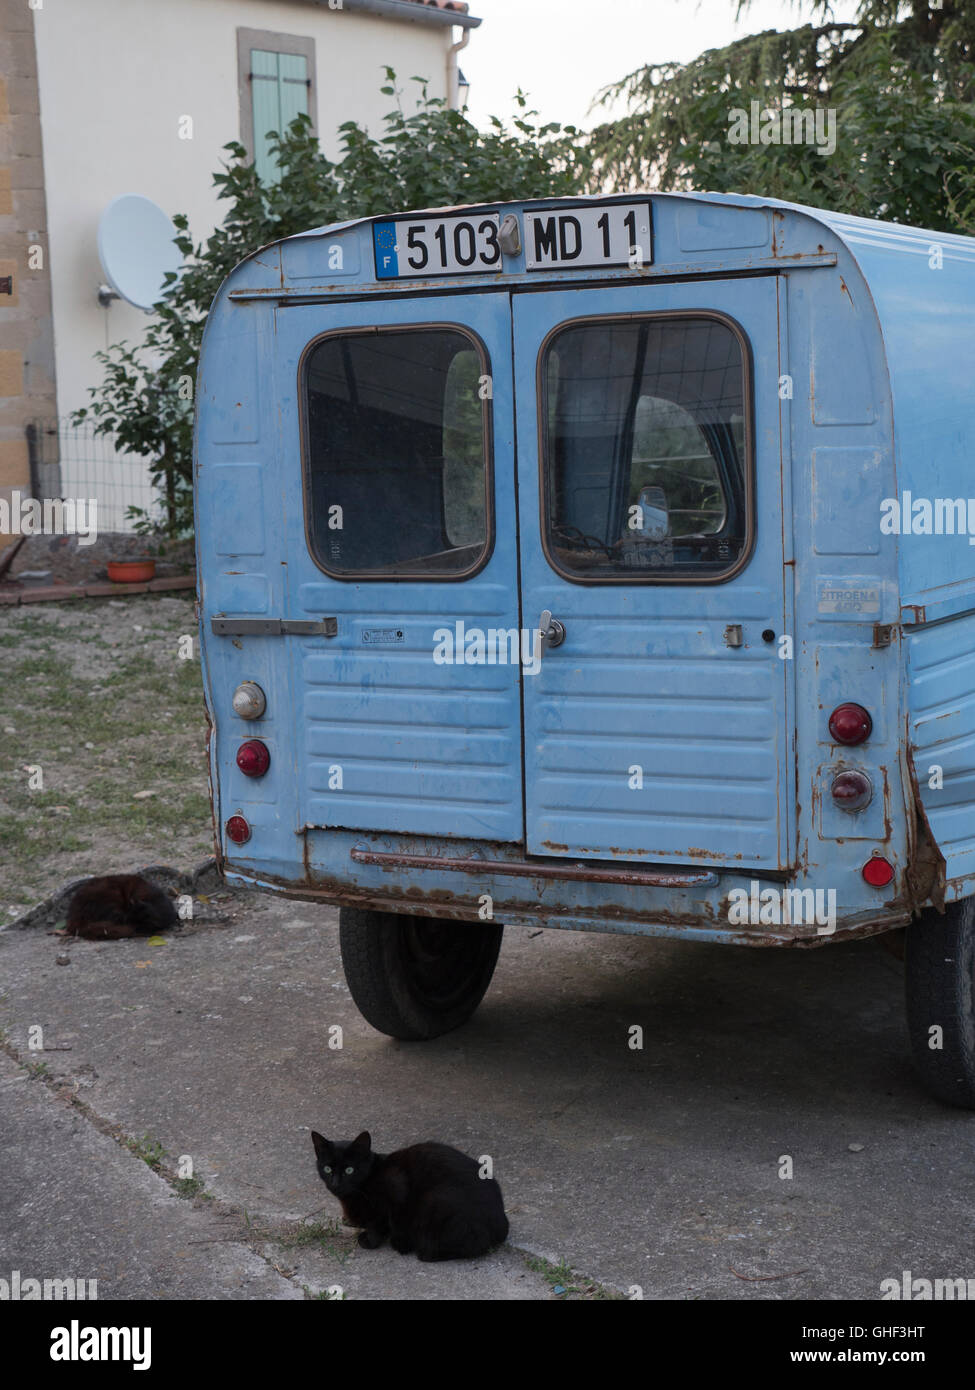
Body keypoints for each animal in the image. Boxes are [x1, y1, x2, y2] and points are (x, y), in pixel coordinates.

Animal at [311, 1128, 509, 1262]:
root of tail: (502, 1220)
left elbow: (380, 1221)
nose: (335, 1183)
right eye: (327, 1169)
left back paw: (414, 1248)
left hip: (434, 1201)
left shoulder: (396, 1187)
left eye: (349, 1170)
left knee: (472, 1245)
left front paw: (370, 1240)